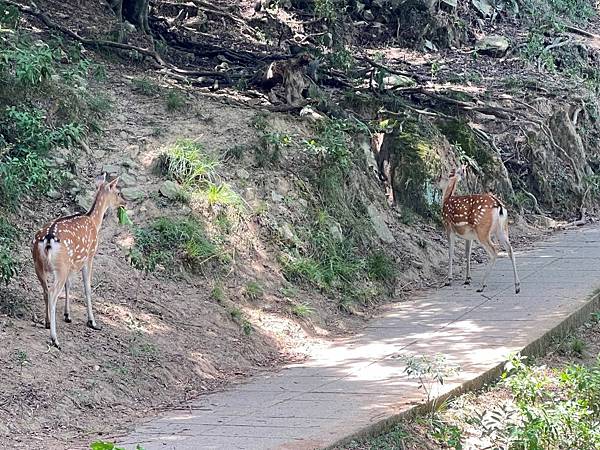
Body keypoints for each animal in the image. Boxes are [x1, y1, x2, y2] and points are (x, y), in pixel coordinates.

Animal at [31, 173, 126, 348]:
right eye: (118, 192)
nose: (125, 202)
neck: (94, 222)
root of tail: (47, 239)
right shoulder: (89, 256)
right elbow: (87, 288)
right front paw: (92, 322)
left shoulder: (72, 263)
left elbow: (69, 286)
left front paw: (68, 315)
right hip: (60, 267)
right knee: (53, 293)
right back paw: (55, 338)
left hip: (38, 264)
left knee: (46, 291)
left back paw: (47, 322)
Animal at [440, 165, 520, 296]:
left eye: (442, 176)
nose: (434, 181)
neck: (446, 199)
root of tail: (499, 206)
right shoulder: (469, 236)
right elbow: (467, 253)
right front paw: (467, 279)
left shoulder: (448, 226)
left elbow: (450, 252)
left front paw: (448, 280)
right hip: (501, 230)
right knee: (510, 249)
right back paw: (517, 287)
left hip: (482, 230)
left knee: (494, 250)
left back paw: (482, 285)